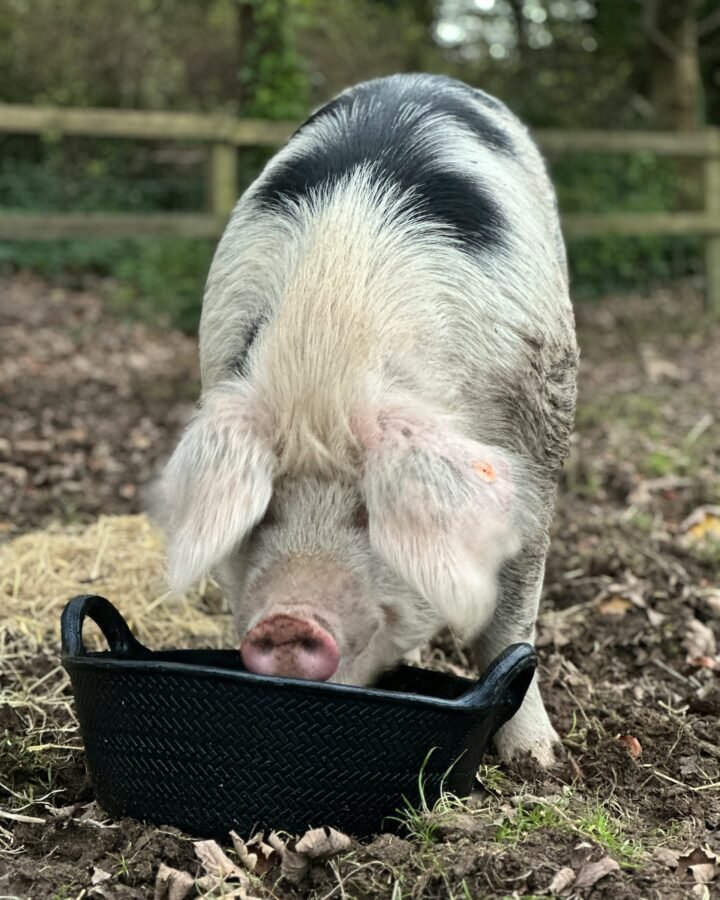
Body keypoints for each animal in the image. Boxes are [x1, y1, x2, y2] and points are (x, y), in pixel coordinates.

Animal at [155, 74, 578, 766]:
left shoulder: (538, 449)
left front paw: (537, 760)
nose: (288, 621)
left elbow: (510, 624)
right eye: (264, 509)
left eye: (369, 512)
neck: (325, 363)